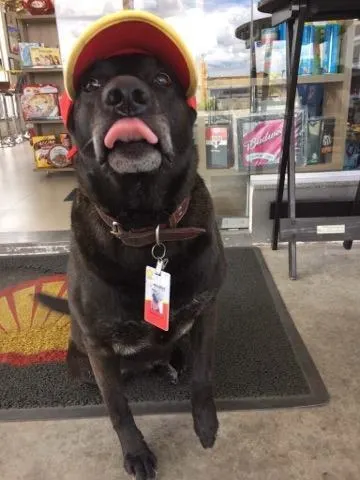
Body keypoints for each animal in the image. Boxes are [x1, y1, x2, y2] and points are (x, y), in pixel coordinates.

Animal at [39, 53, 225, 480]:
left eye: (162, 79)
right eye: (91, 85)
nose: (124, 94)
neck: (147, 227)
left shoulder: (207, 312)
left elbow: (203, 376)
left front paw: (205, 424)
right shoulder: (99, 348)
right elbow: (119, 409)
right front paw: (136, 452)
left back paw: (170, 366)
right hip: (81, 363)